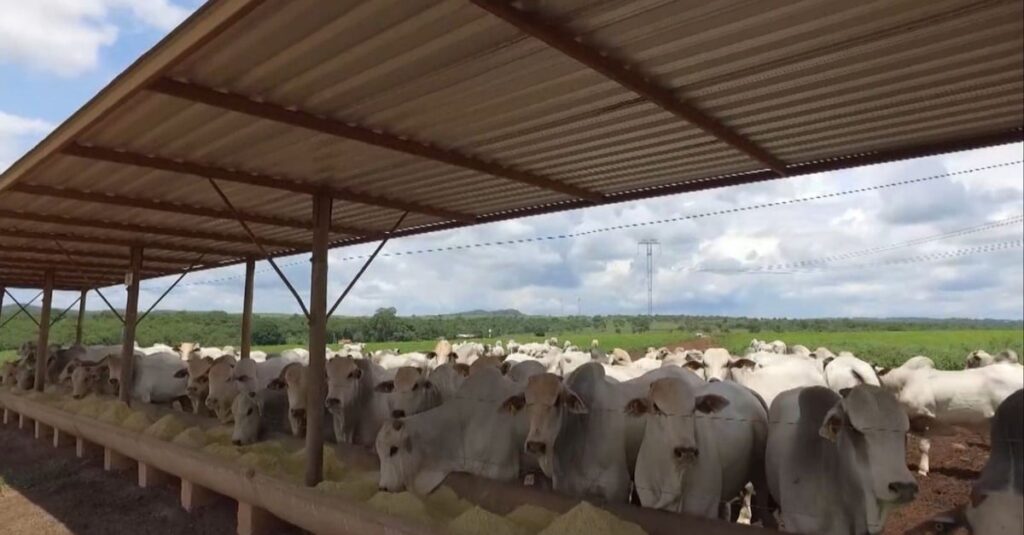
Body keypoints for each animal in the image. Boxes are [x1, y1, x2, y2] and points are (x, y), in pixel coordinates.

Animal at [622, 375, 770, 516]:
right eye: (656, 407)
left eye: (693, 408)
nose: (686, 451)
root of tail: (744, 389)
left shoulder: (705, 509)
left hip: (760, 476)